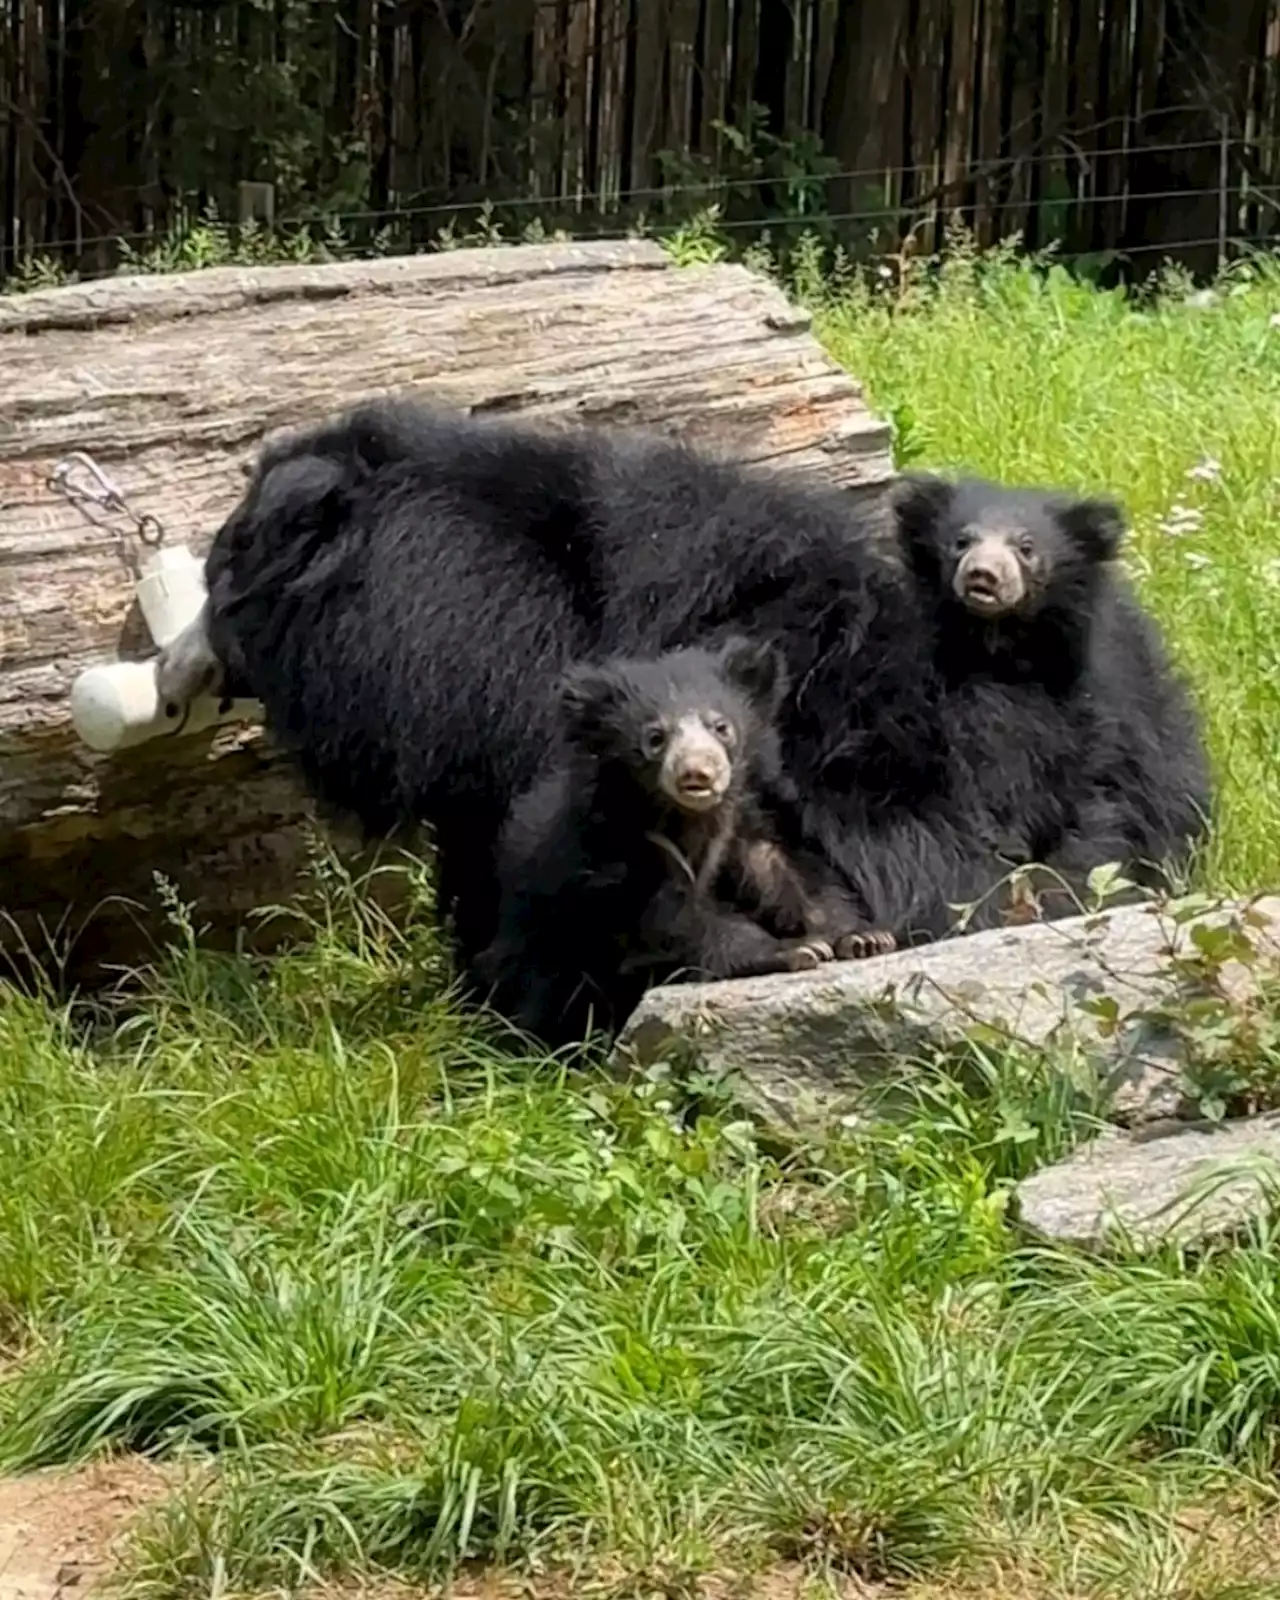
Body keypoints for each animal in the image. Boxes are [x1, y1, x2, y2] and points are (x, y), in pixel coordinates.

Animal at [470, 636, 889, 1049]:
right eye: (655, 738)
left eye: (721, 727)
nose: (697, 774)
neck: (693, 819)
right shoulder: (608, 858)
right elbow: (672, 921)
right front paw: (794, 950)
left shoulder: (749, 826)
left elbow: (794, 877)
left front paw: (863, 939)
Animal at [889, 470, 1209, 928]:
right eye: (961, 541)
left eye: (1026, 547)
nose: (983, 577)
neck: (997, 649)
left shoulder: (1099, 699)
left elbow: (1097, 795)